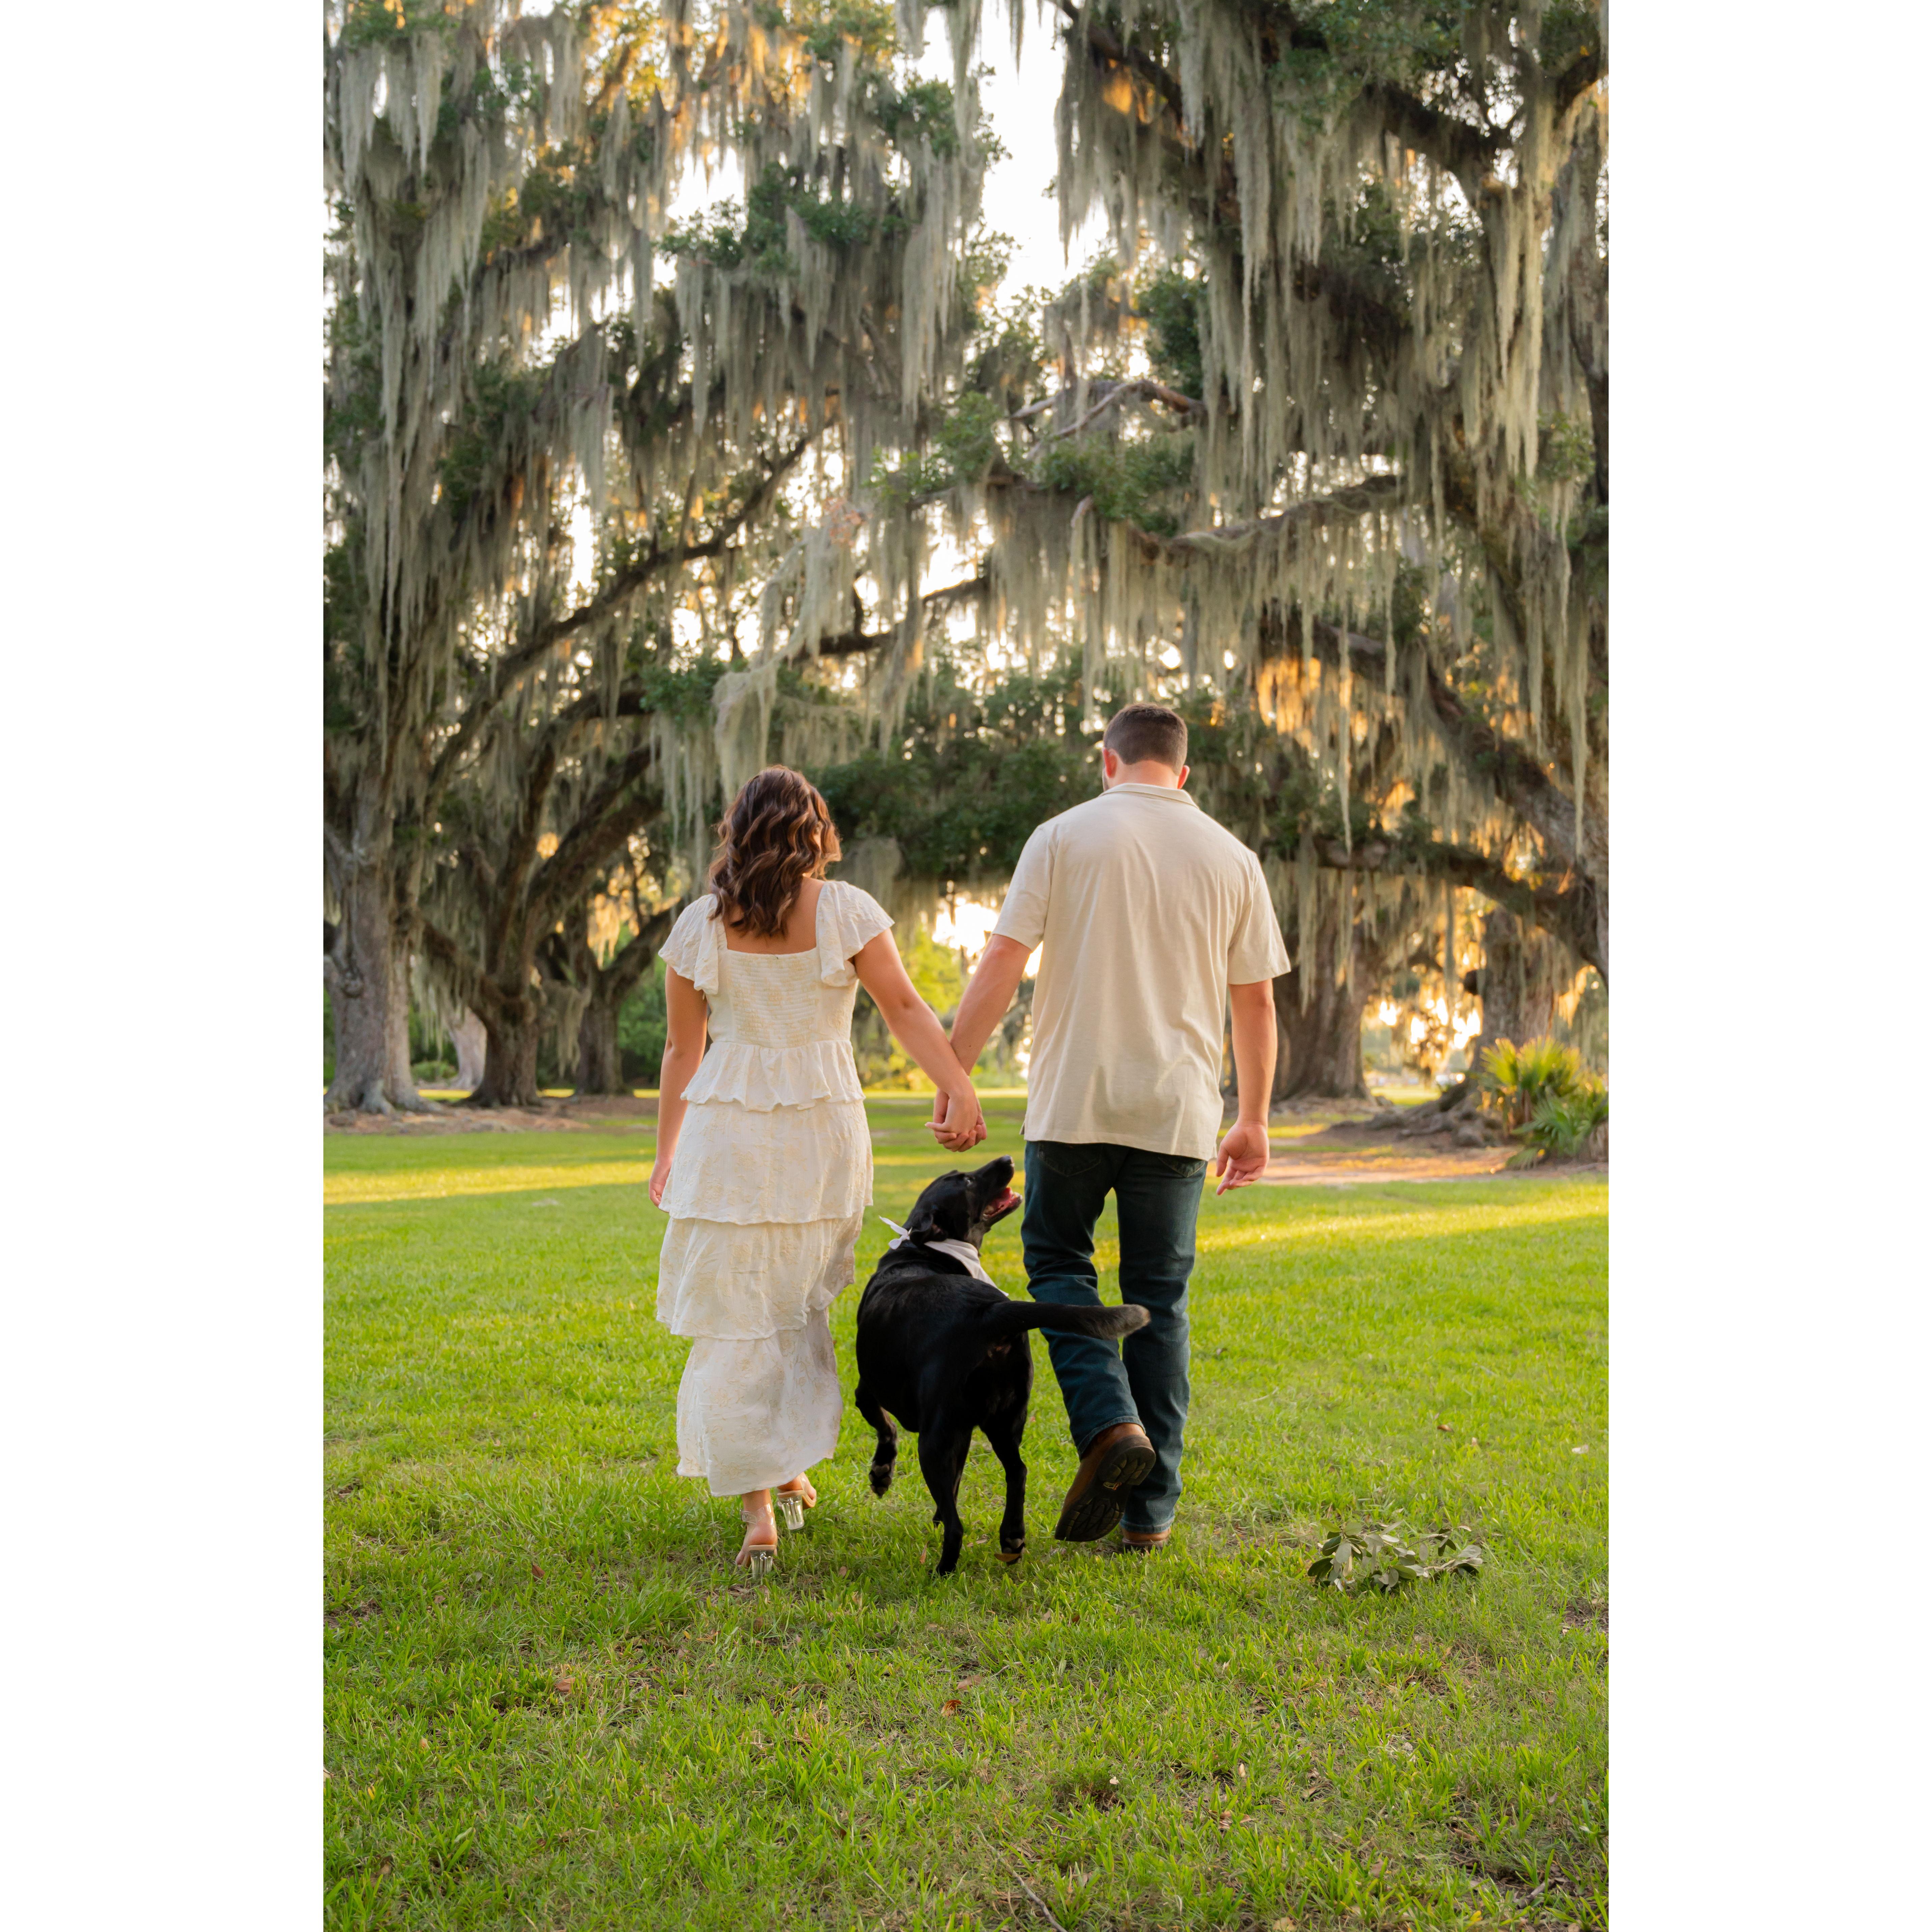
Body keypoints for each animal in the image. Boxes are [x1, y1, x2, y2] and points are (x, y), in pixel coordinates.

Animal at [853, 1154, 1149, 1574]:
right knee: (1017, 1471)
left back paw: (942, 1571)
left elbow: (886, 1429)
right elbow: (957, 1478)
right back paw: (1012, 1536)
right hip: (1005, 1421)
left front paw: (881, 1475)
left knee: (958, 1525)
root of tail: (988, 1313)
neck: (929, 1251)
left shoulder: (868, 1392)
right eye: (966, 1181)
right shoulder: (961, 1432)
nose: (1008, 1159)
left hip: (934, 1439)